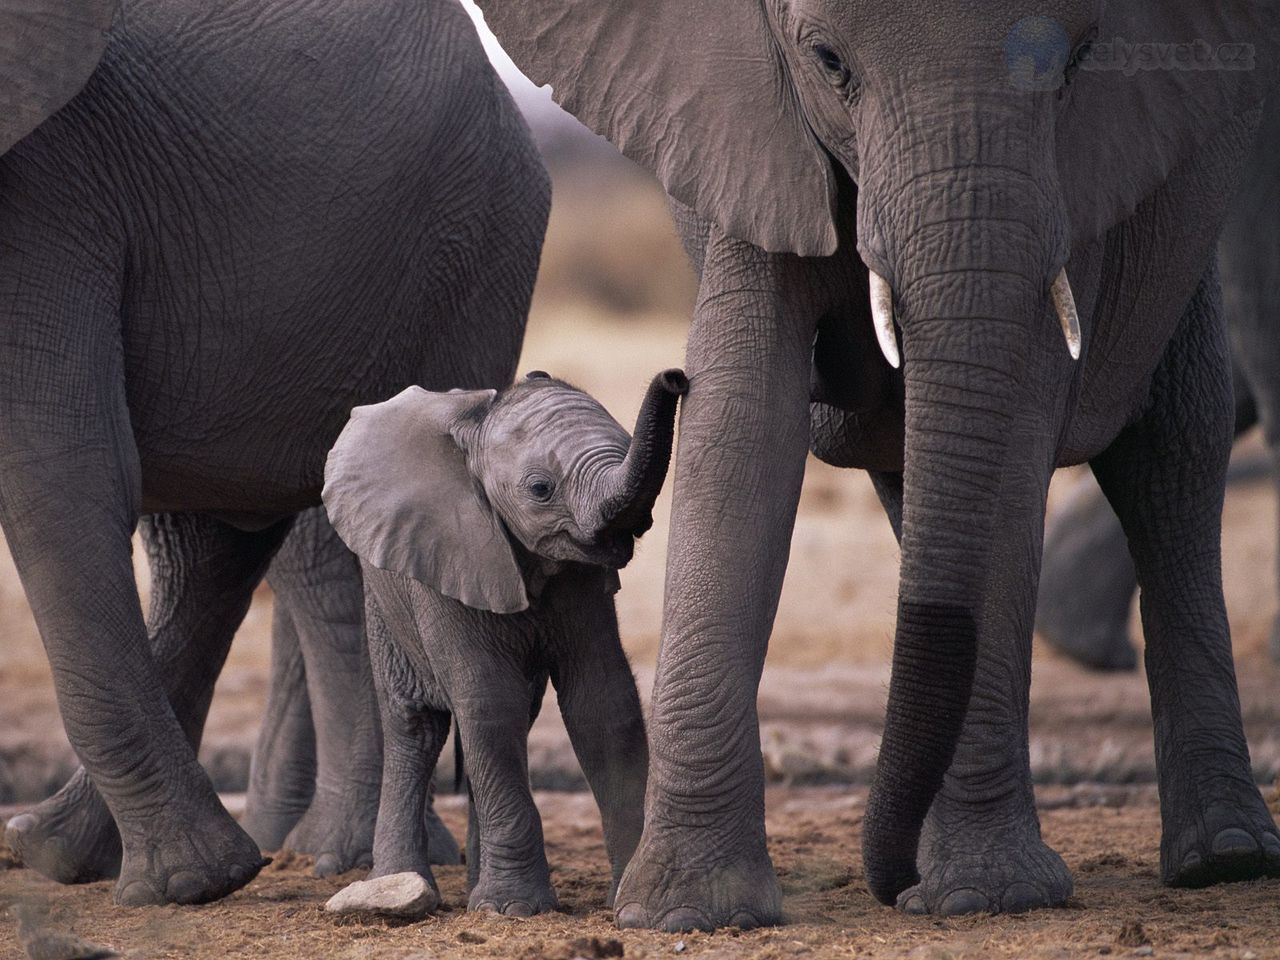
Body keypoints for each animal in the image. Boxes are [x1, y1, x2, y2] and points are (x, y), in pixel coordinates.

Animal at [0, 0, 547, 906]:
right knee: (209, 543)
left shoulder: (47, 192)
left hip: (472, 248)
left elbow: (56, 474)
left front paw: (192, 886)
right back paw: (57, 850)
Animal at [323, 369, 686, 915]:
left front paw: (623, 899)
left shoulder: (581, 581)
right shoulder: (448, 554)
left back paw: (475, 889)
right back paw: (402, 884)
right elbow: (490, 702)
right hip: (384, 601)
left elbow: (604, 703)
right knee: (417, 727)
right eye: (540, 489)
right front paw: (514, 910)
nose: (675, 377)